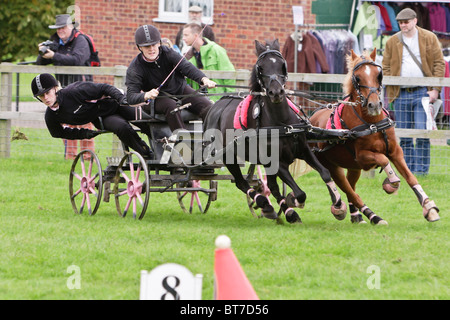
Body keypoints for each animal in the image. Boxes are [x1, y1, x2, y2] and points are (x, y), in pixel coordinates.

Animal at [202, 39, 346, 222]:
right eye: (261, 67)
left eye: (282, 65)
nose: (276, 92)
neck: (282, 124)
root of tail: (214, 107)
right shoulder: (276, 162)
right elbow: (300, 193)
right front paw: (293, 200)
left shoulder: (304, 150)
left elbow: (325, 173)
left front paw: (338, 204)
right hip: (228, 156)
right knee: (242, 183)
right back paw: (266, 203)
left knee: (270, 186)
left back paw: (282, 211)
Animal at [310, 49, 440, 225]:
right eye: (357, 78)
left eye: (378, 75)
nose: (374, 105)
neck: (373, 124)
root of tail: (311, 119)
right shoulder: (363, 157)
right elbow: (383, 160)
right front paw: (392, 181)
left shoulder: (396, 152)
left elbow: (411, 177)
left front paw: (429, 207)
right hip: (331, 166)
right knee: (350, 191)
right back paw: (372, 216)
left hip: (353, 167)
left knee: (351, 187)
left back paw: (356, 215)